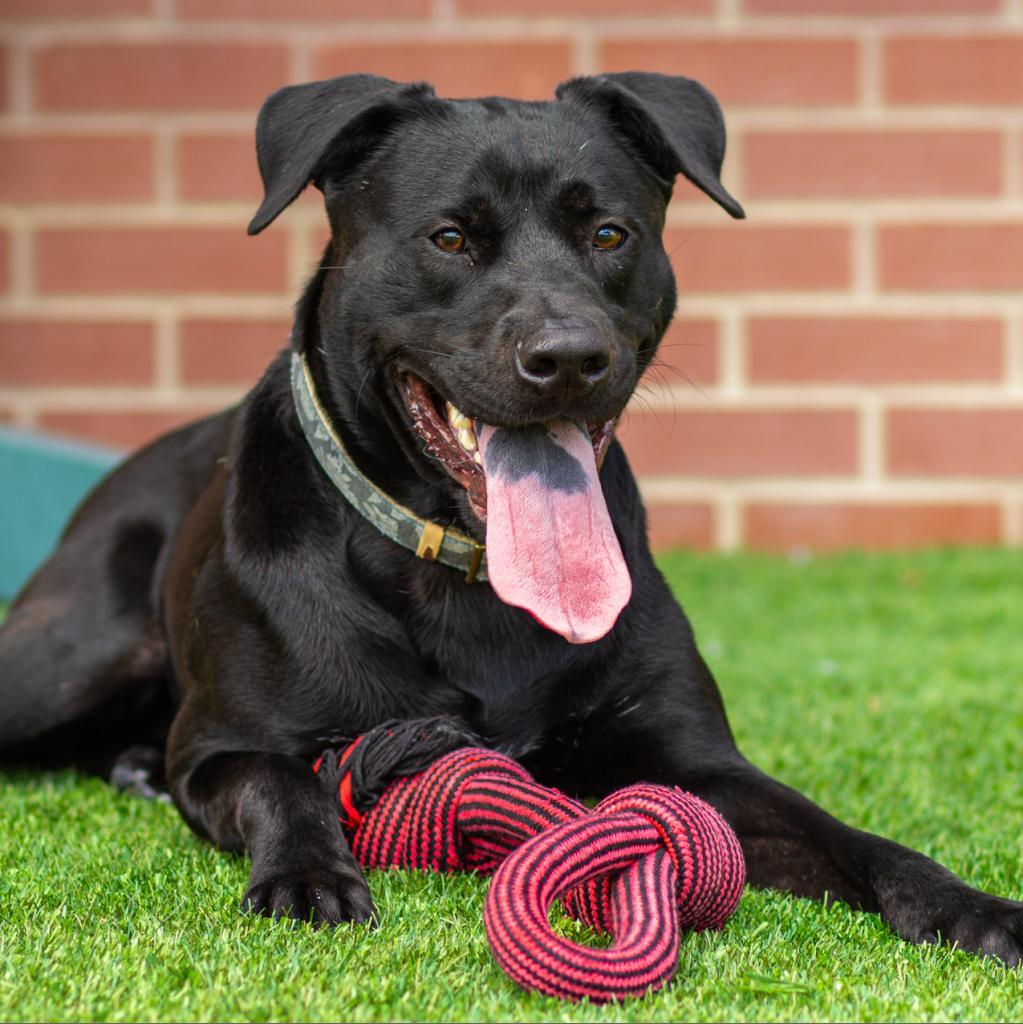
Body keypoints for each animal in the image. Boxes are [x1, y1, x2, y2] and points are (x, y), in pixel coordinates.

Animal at [0, 72, 1019, 958]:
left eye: (607, 233)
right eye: (451, 239)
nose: (566, 357)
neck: (468, 572)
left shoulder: (701, 763)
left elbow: (853, 837)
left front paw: (971, 906)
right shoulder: (222, 751)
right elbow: (285, 784)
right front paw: (305, 876)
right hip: (74, 655)